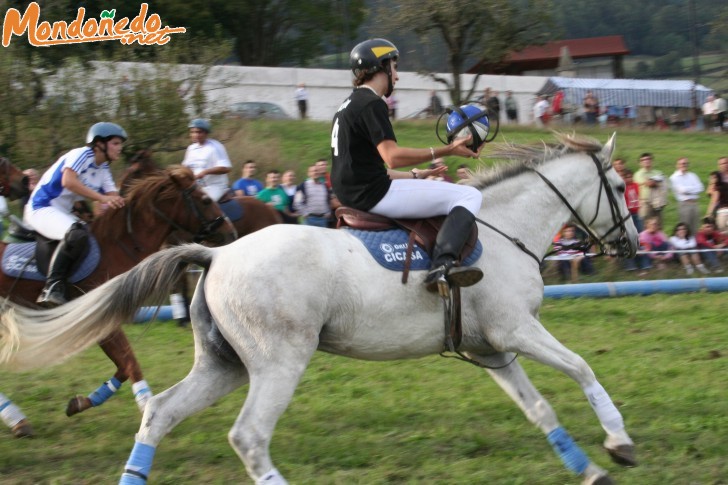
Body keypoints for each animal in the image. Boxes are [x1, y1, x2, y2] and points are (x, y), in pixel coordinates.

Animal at [0, 165, 233, 416]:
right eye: (206, 200)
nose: (230, 231)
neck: (119, 246)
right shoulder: (99, 317)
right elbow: (130, 361)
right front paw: (146, 405)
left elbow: (123, 364)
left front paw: (83, 401)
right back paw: (15, 417)